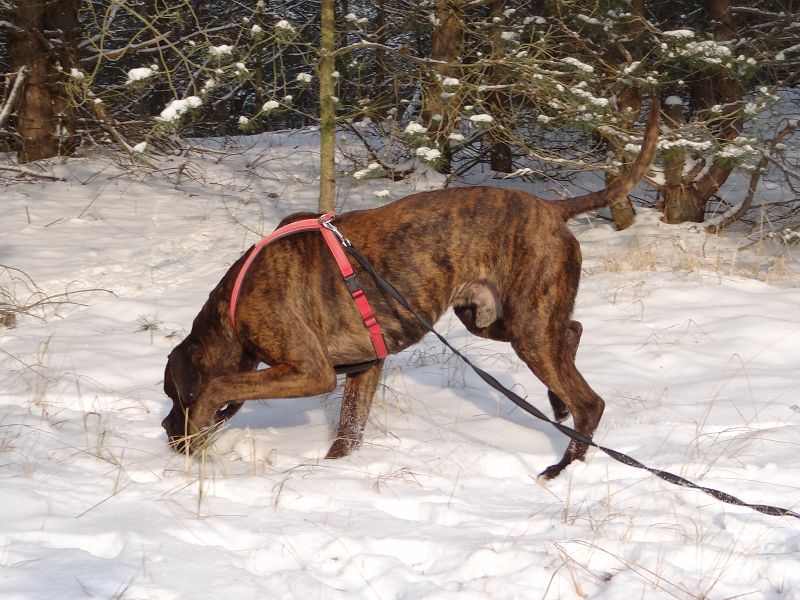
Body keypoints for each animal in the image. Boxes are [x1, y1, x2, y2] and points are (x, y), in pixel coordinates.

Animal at [163, 97, 659, 479]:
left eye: (173, 394)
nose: (167, 433)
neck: (232, 305)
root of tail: (552, 209)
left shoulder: (310, 371)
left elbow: (220, 386)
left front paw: (201, 425)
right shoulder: (364, 367)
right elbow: (348, 431)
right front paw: (336, 472)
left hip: (528, 329)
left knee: (590, 401)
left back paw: (562, 466)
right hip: (495, 319)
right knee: (572, 332)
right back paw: (558, 407)